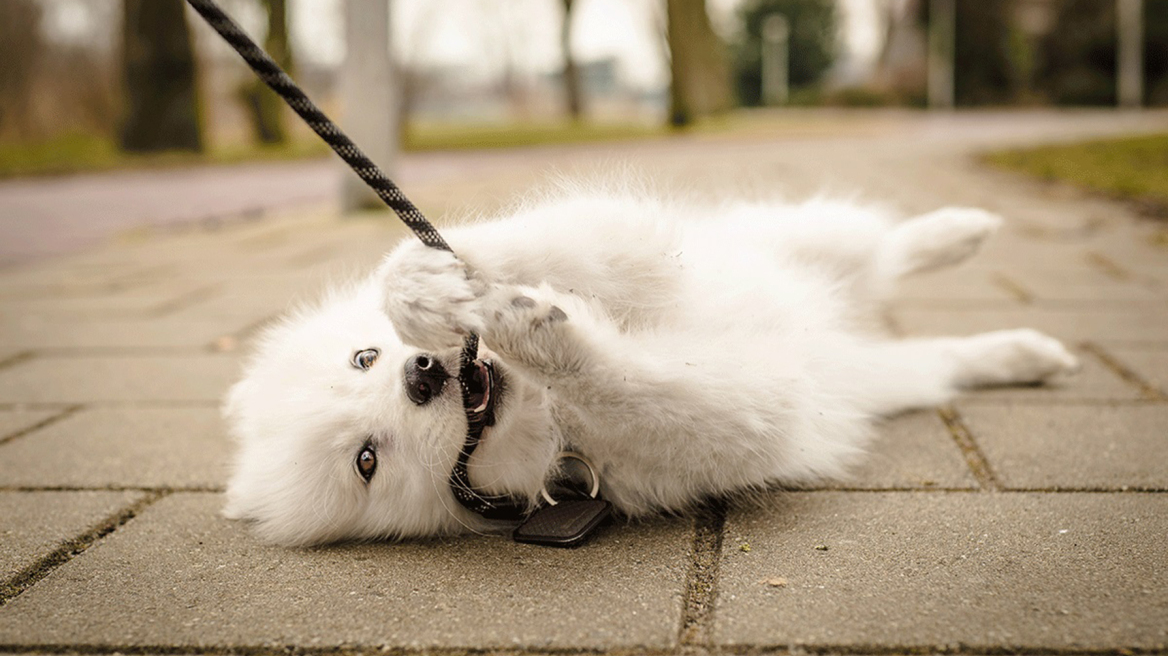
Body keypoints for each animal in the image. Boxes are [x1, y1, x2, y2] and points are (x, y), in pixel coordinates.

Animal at [223, 186, 1079, 543]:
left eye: (365, 355)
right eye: (367, 459)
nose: (422, 375)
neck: (541, 413)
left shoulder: (636, 249)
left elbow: (564, 247)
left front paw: (434, 286)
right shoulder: (737, 419)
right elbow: (636, 386)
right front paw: (539, 332)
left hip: (800, 240)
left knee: (881, 250)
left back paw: (961, 231)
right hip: (887, 377)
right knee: (938, 350)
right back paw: (1026, 352)